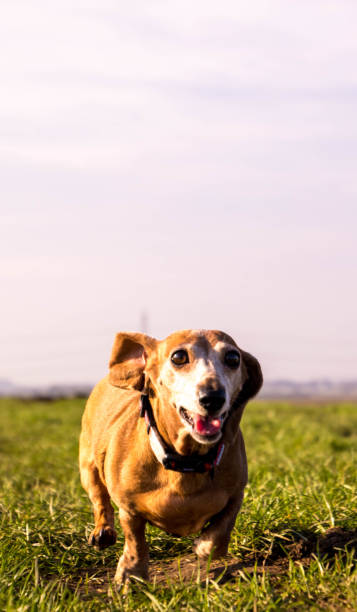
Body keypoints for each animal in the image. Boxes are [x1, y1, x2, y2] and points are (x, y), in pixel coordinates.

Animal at [80, 330, 262, 584]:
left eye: (233, 358)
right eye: (179, 357)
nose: (213, 397)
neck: (187, 463)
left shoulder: (237, 493)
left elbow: (221, 532)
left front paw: (204, 546)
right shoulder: (128, 507)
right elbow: (135, 539)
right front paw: (131, 574)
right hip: (88, 467)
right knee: (100, 499)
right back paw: (103, 531)